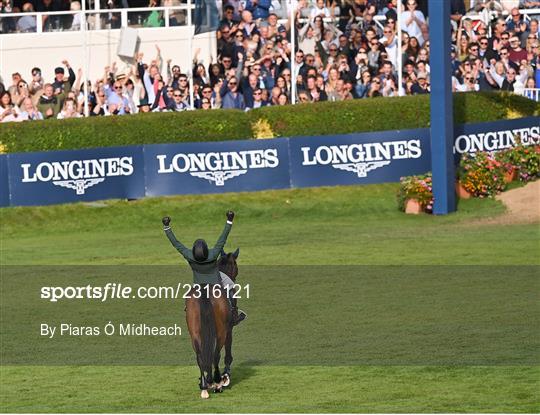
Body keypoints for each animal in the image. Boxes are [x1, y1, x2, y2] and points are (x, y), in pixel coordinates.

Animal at [185, 249, 239, 398]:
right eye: (235, 264)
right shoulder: (229, 329)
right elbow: (228, 352)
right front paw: (225, 376)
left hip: (194, 332)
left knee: (200, 355)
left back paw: (205, 385)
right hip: (221, 332)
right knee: (216, 354)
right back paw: (217, 381)